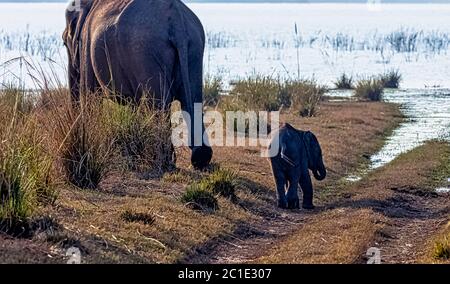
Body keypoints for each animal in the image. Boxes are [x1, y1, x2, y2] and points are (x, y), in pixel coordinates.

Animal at [62, 0, 214, 169]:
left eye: (64, 43)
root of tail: (177, 21)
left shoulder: (86, 47)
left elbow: (90, 96)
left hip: (146, 51)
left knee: (158, 104)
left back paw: (161, 159)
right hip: (195, 47)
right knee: (192, 100)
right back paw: (200, 158)